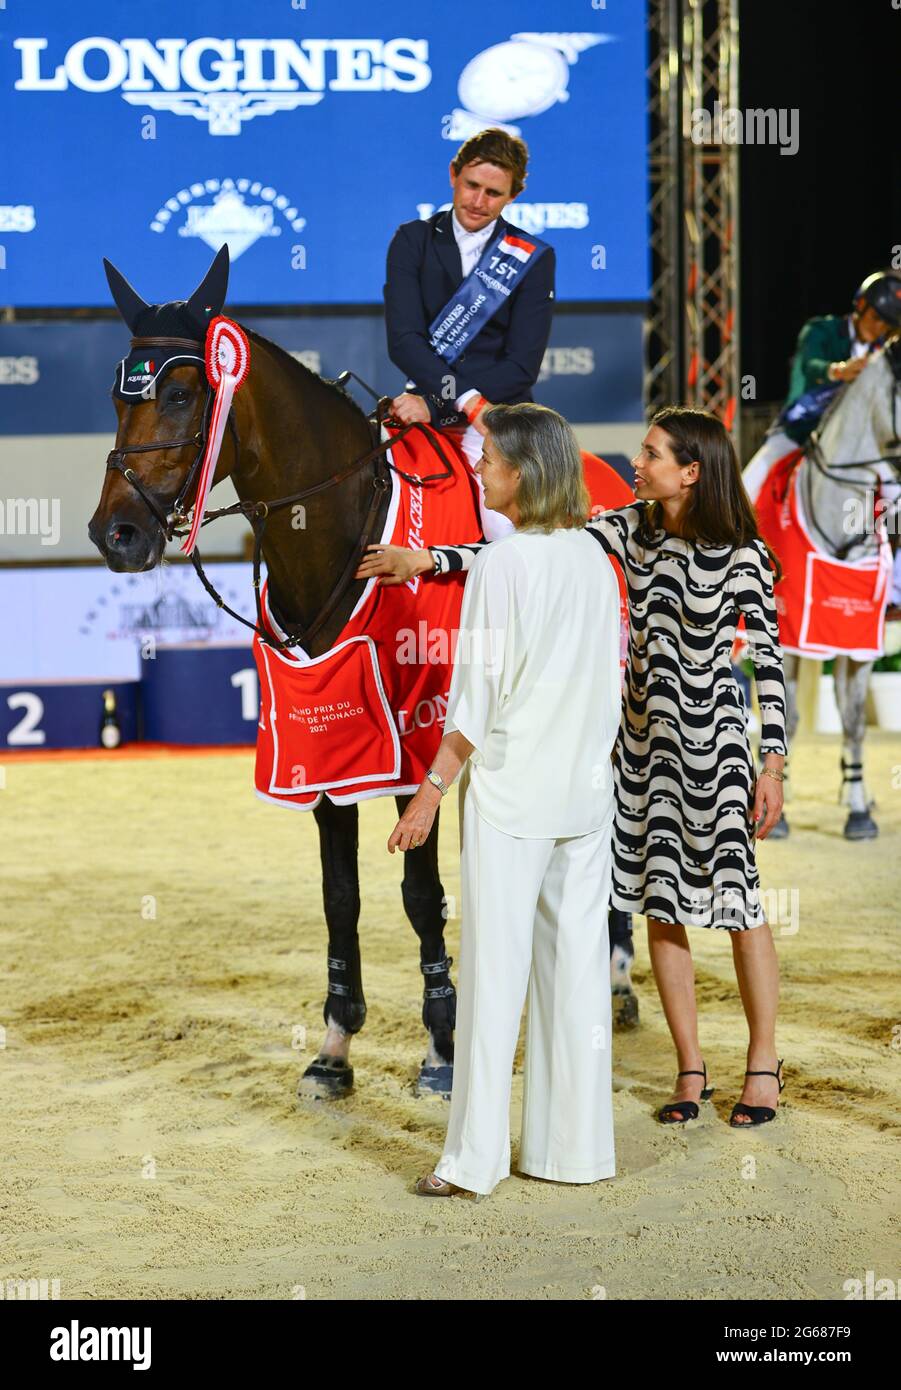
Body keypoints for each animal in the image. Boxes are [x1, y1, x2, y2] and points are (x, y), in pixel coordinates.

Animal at [89, 244, 639, 1100]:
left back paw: (612, 978)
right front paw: (335, 1045)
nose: (114, 534)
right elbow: (339, 895)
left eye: (180, 393)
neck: (340, 535)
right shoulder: (327, 740)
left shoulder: (418, 738)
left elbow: (418, 893)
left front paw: (442, 1045)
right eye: (118, 396)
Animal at [745, 339, 901, 834]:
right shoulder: (790, 636)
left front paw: (857, 813)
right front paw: (780, 810)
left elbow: (853, 722)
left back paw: (859, 793)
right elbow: (788, 715)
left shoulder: (861, 638)